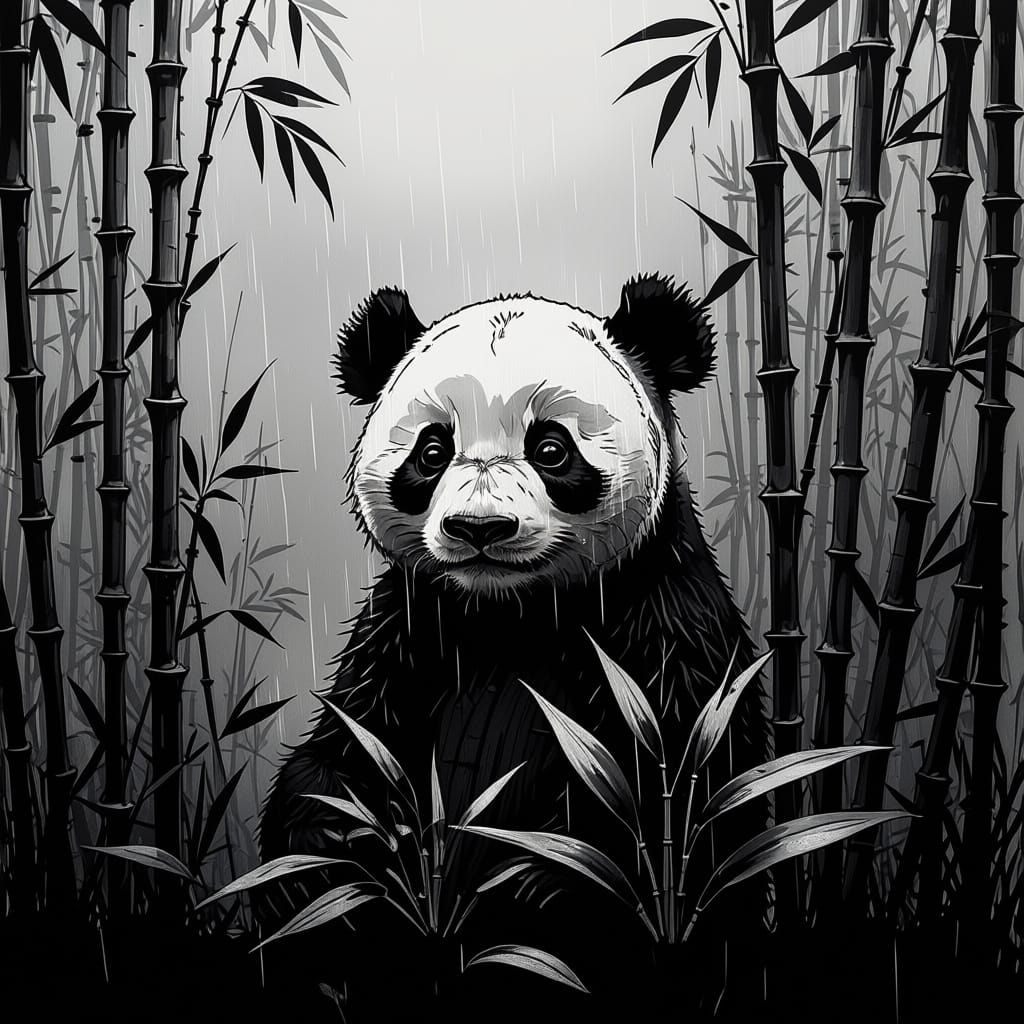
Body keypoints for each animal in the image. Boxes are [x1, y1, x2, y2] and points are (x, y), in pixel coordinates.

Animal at [258, 273, 764, 1011]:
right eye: (432, 451)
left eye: (551, 448)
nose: (479, 528)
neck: (512, 615)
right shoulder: (410, 630)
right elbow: (348, 749)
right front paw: (331, 845)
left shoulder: (664, 625)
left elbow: (674, 789)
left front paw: (537, 883)